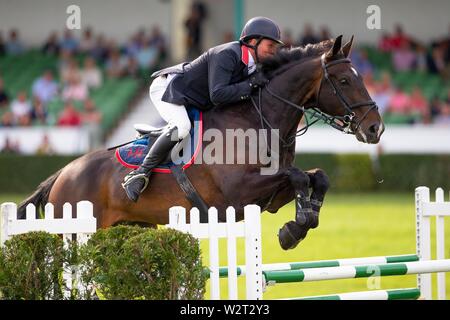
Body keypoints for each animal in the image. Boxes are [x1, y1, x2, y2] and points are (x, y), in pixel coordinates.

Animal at [17, 35, 384, 250]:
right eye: (344, 80)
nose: (375, 128)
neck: (257, 119)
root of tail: (61, 175)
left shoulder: (267, 197)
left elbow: (316, 176)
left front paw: (300, 223)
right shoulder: (239, 193)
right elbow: (297, 176)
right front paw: (295, 227)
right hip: (76, 232)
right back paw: (135, 181)